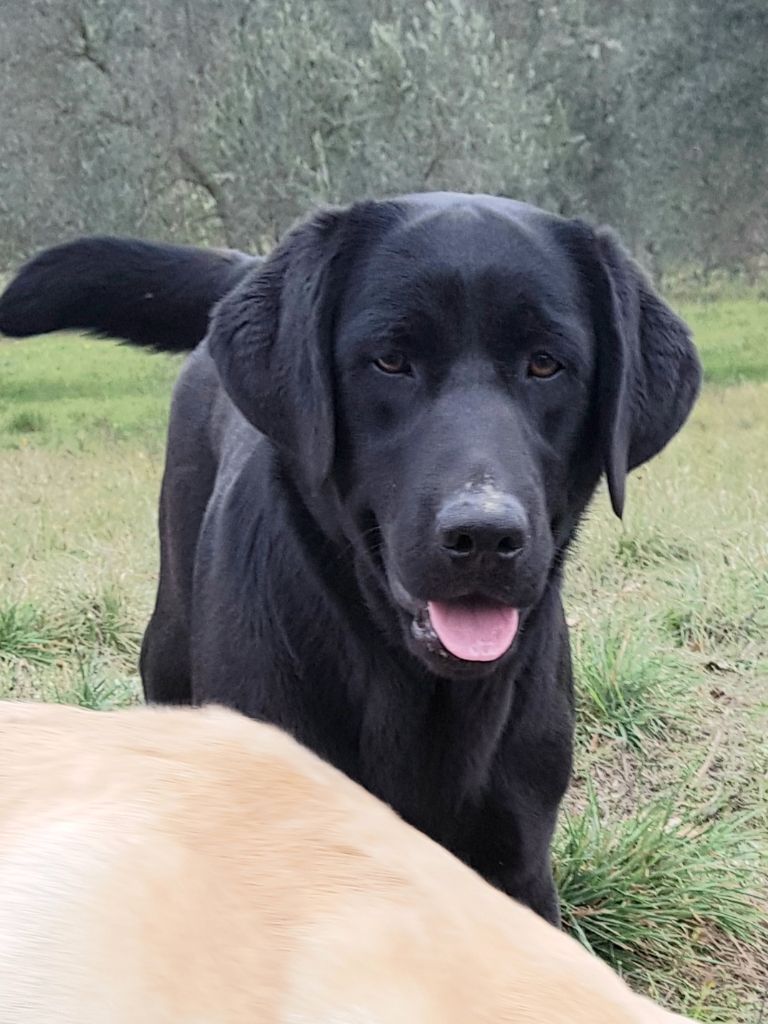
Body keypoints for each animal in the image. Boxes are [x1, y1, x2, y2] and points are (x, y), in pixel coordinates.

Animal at [0, 192, 700, 921]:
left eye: (545, 364)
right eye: (390, 361)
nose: (483, 535)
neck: (416, 691)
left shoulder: (519, 867)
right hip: (169, 638)